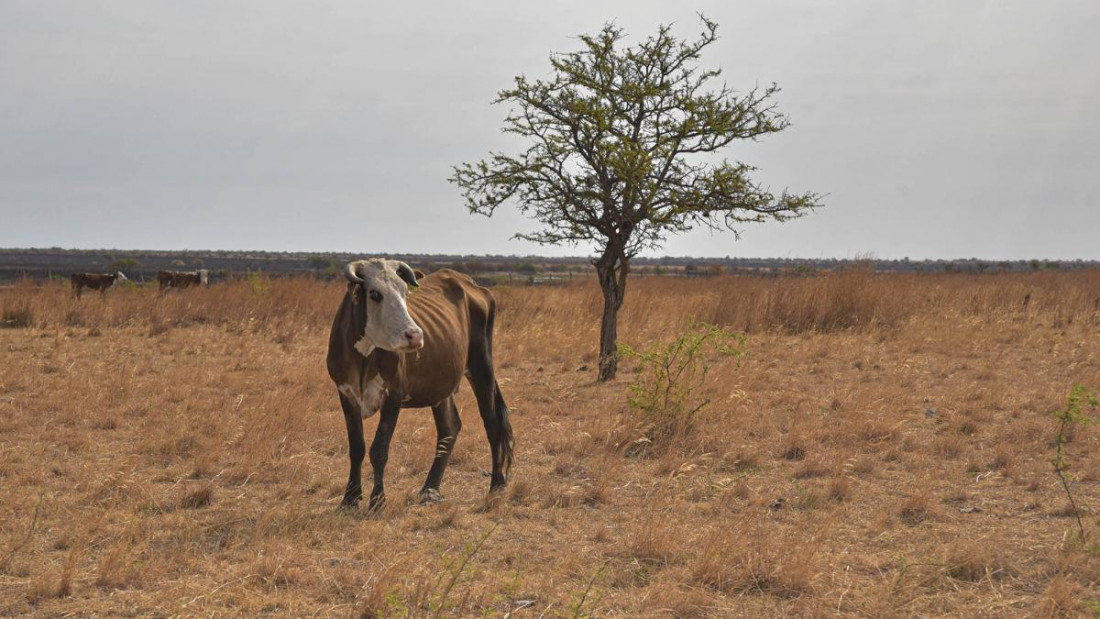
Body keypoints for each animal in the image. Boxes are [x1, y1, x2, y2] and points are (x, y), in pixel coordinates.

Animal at [325, 259, 514, 510]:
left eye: (405, 292)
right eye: (375, 294)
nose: (414, 335)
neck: (364, 357)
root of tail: (470, 284)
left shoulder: (393, 397)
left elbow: (379, 450)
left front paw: (378, 500)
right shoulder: (346, 395)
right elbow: (357, 448)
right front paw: (350, 498)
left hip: (481, 366)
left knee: (492, 423)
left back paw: (496, 485)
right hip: (442, 384)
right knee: (449, 427)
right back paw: (430, 488)